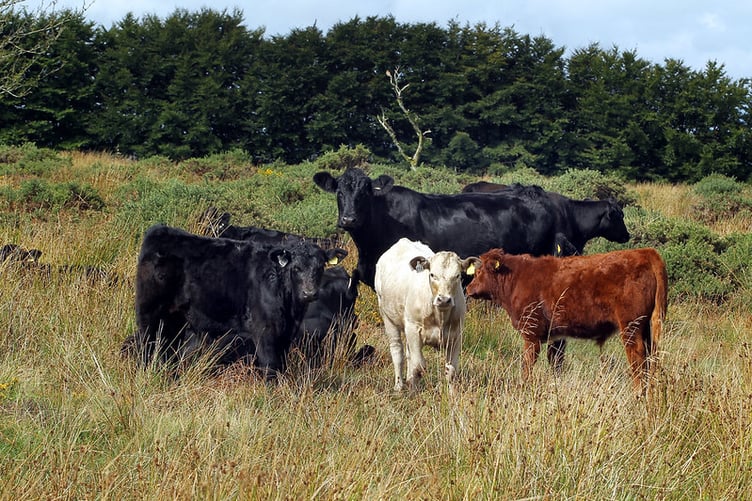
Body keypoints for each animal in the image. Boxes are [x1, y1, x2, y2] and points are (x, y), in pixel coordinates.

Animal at [132, 224, 345, 378]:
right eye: (296, 268)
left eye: (320, 267)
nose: (309, 293)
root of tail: (161, 230)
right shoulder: (265, 331)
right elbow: (271, 366)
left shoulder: (285, 334)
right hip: (149, 311)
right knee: (147, 344)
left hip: (176, 318)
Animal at [374, 238, 478, 393]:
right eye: (432, 274)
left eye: (457, 275)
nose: (444, 299)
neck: (440, 315)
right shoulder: (414, 330)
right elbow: (418, 366)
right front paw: (413, 391)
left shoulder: (456, 335)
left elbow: (451, 370)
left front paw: (452, 394)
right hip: (388, 318)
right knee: (398, 352)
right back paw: (399, 385)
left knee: (408, 354)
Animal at [466, 248, 668, 393]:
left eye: (479, 272)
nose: (468, 289)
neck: (516, 278)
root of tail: (645, 252)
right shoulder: (555, 336)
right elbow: (555, 361)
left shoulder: (531, 333)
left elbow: (527, 363)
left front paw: (524, 387)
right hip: (646, 327)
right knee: (650, 355)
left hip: (631, 326)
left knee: (638, 357)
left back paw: (638, 392)